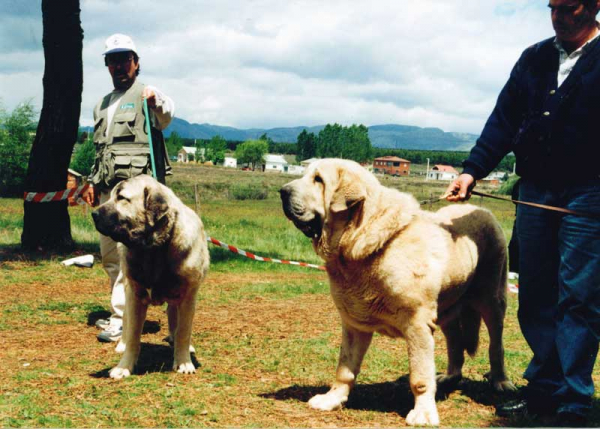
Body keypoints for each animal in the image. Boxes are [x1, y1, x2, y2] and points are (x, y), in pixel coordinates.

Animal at [91, 174, 209, 378]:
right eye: (111, 196)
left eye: (121, 198)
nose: (93, 214)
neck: (154, 249)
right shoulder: (135, 296)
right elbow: (133, 335)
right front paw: (123, 366)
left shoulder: (188, 297)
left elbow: (183, 331)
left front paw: (184, 361)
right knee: (126, 321)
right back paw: (121, 344)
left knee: (174, 319)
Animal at [278, 158, 512, 424]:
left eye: (318, 180)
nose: (283, 192)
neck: (360, 238)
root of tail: (482, 210)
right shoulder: (354, 324)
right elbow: (345, 368)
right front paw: (332, 399)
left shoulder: (418, 324)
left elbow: (420, 376)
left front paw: (423, 413)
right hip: (448, 307)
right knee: (455, 341)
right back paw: (450, 376)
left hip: (492, 300)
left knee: (496, 345)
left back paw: (501, 381)